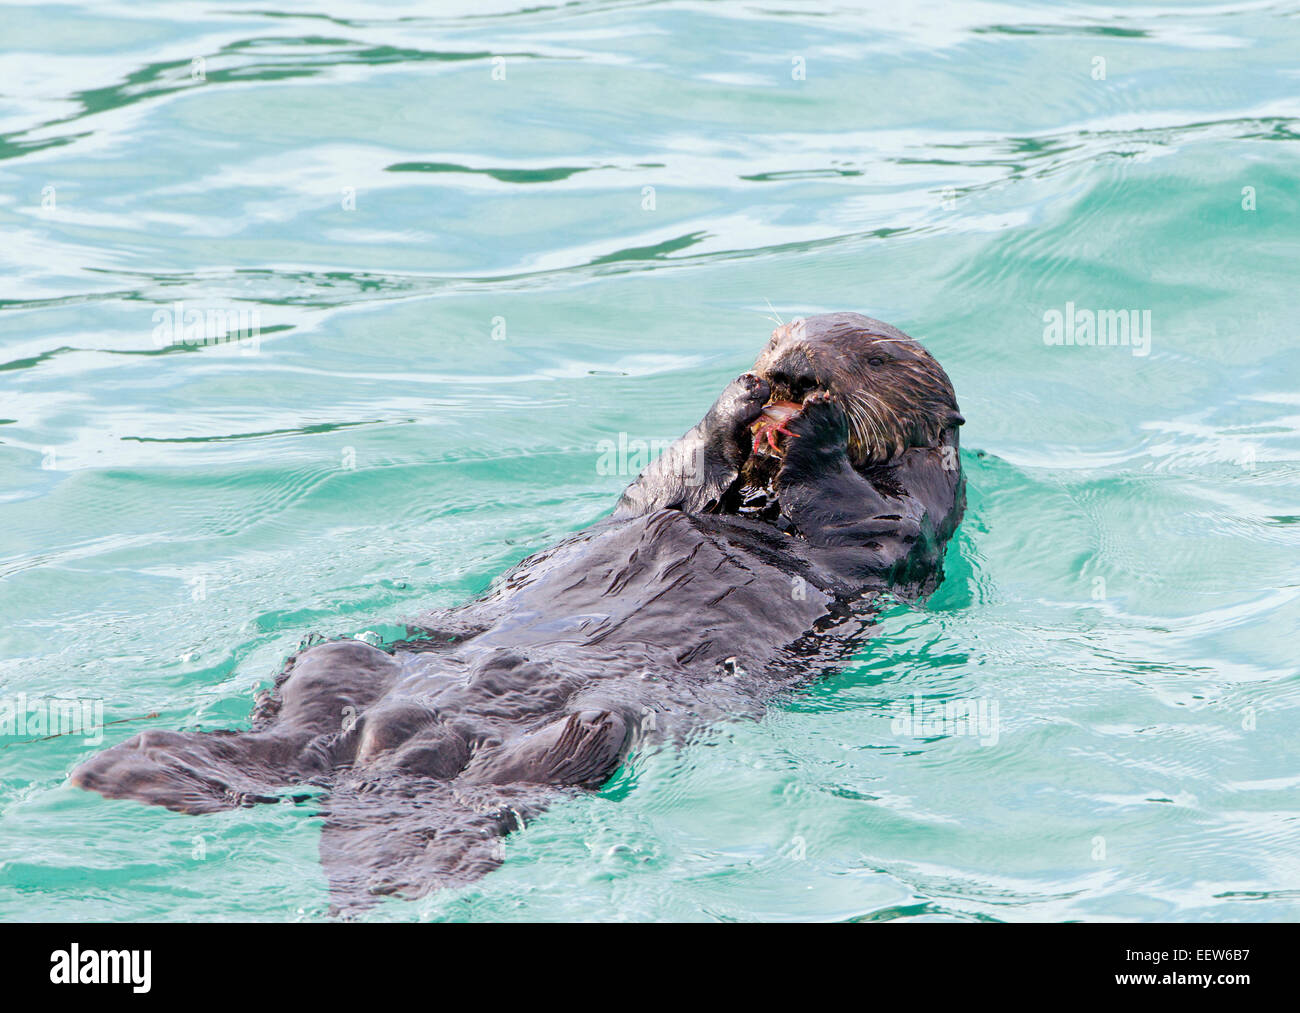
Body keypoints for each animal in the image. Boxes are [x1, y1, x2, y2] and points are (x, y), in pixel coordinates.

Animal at [72, 312, 965, 910]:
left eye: (877, 354)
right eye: (781, 330)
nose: (790, 367)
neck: (763, 498)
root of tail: (381, 760)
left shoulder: (912, 512)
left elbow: (864, 515)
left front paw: (812, 426)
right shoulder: (669, 490)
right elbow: (663, 485)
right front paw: (737, 403)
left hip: (568, 742)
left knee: (534, 769)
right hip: (344, 664)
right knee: (300, 728)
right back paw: (145, 763)